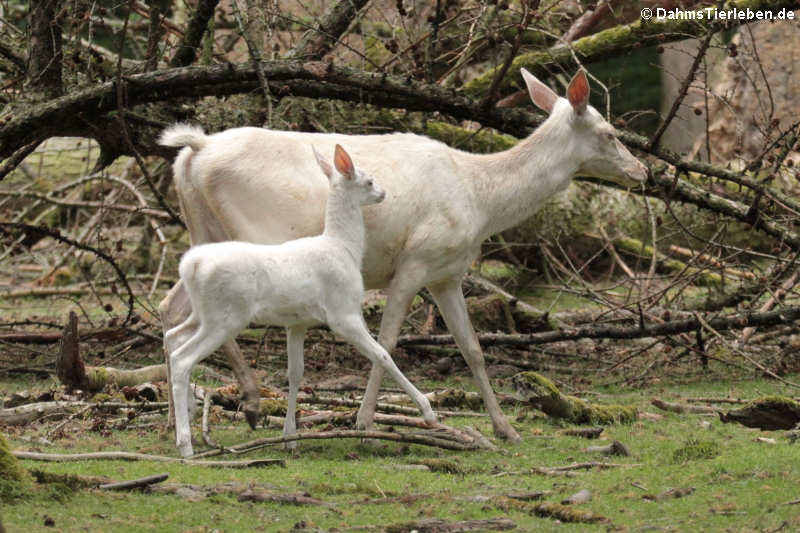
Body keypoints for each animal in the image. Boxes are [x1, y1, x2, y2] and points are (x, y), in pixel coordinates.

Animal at [164, 143, 438, 456]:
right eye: (368, 180)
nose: (383, 193)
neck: (344, 248)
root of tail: (191, 265)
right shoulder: (343, 312)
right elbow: (382, 354)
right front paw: (429, 413)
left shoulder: (297, 322)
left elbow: (295, 372)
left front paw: (289, 436)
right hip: (225, 316)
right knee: (183, 358)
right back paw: (185, 445)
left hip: (203, 313)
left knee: (174, 338)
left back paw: (187, 418)